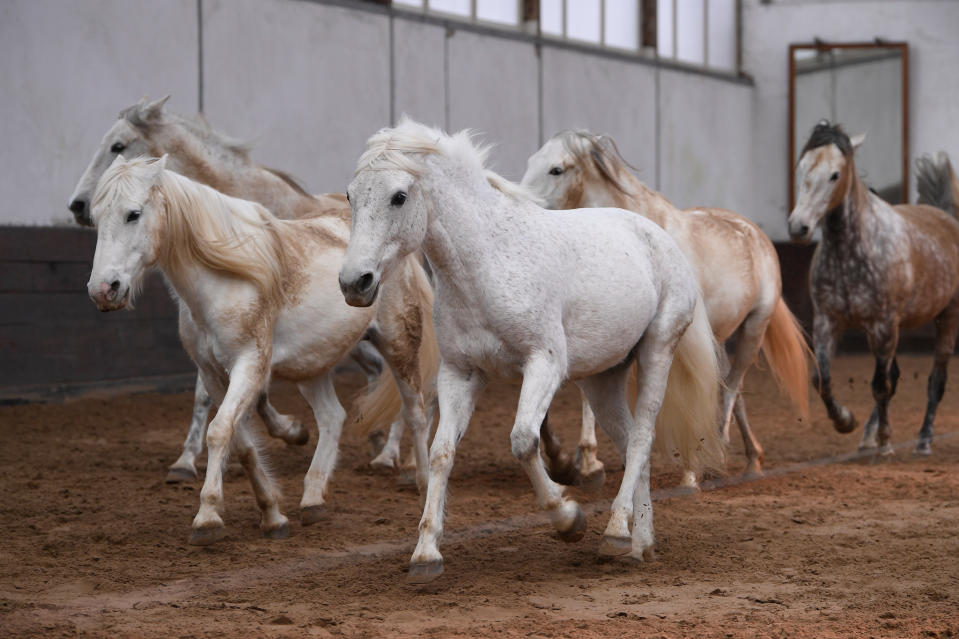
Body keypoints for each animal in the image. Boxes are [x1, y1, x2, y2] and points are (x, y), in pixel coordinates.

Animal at [65, 96, 410, 480]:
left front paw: (289, 431)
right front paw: (187, 460)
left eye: (118, 145)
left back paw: (389, 453)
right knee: (379, 373)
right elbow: (213, 393)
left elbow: (244, 391)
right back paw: (376, 439)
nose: (77, 205)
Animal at [86, 156, 438, 544]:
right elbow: (239, 441)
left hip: (398, 345)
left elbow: (219, 431)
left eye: (133, 214)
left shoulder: (249, 365)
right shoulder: (212, 374)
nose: (102, 290)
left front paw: (207, 517)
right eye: (96, 215)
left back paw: (418, 481)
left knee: (415, 411)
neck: (224, 279)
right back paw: (313, 498)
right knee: (333, 417)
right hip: (312, 367)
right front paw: (272, 514)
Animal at [342, 117, 724, 584]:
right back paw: (641, 545)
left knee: (641, 439)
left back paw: (615, 533)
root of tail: (660, 237)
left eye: (398, 196)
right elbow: (441, 453)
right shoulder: (460, 374)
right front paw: (426, 554)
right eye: (350, 195)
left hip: (657, 351)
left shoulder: (544, 365)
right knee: (633, 443)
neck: (487, 263)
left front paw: (568, 519)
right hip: (603, 379)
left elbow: (524, 440)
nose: (353, 282)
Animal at [524, 131, 808, 484]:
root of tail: (755, 233)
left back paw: (719, 456)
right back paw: (750, 457)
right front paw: (578, 461)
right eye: (531, 162)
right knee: (730, 388)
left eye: (557, 169)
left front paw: (687, 473)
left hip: (753, 329)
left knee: (731, 389)